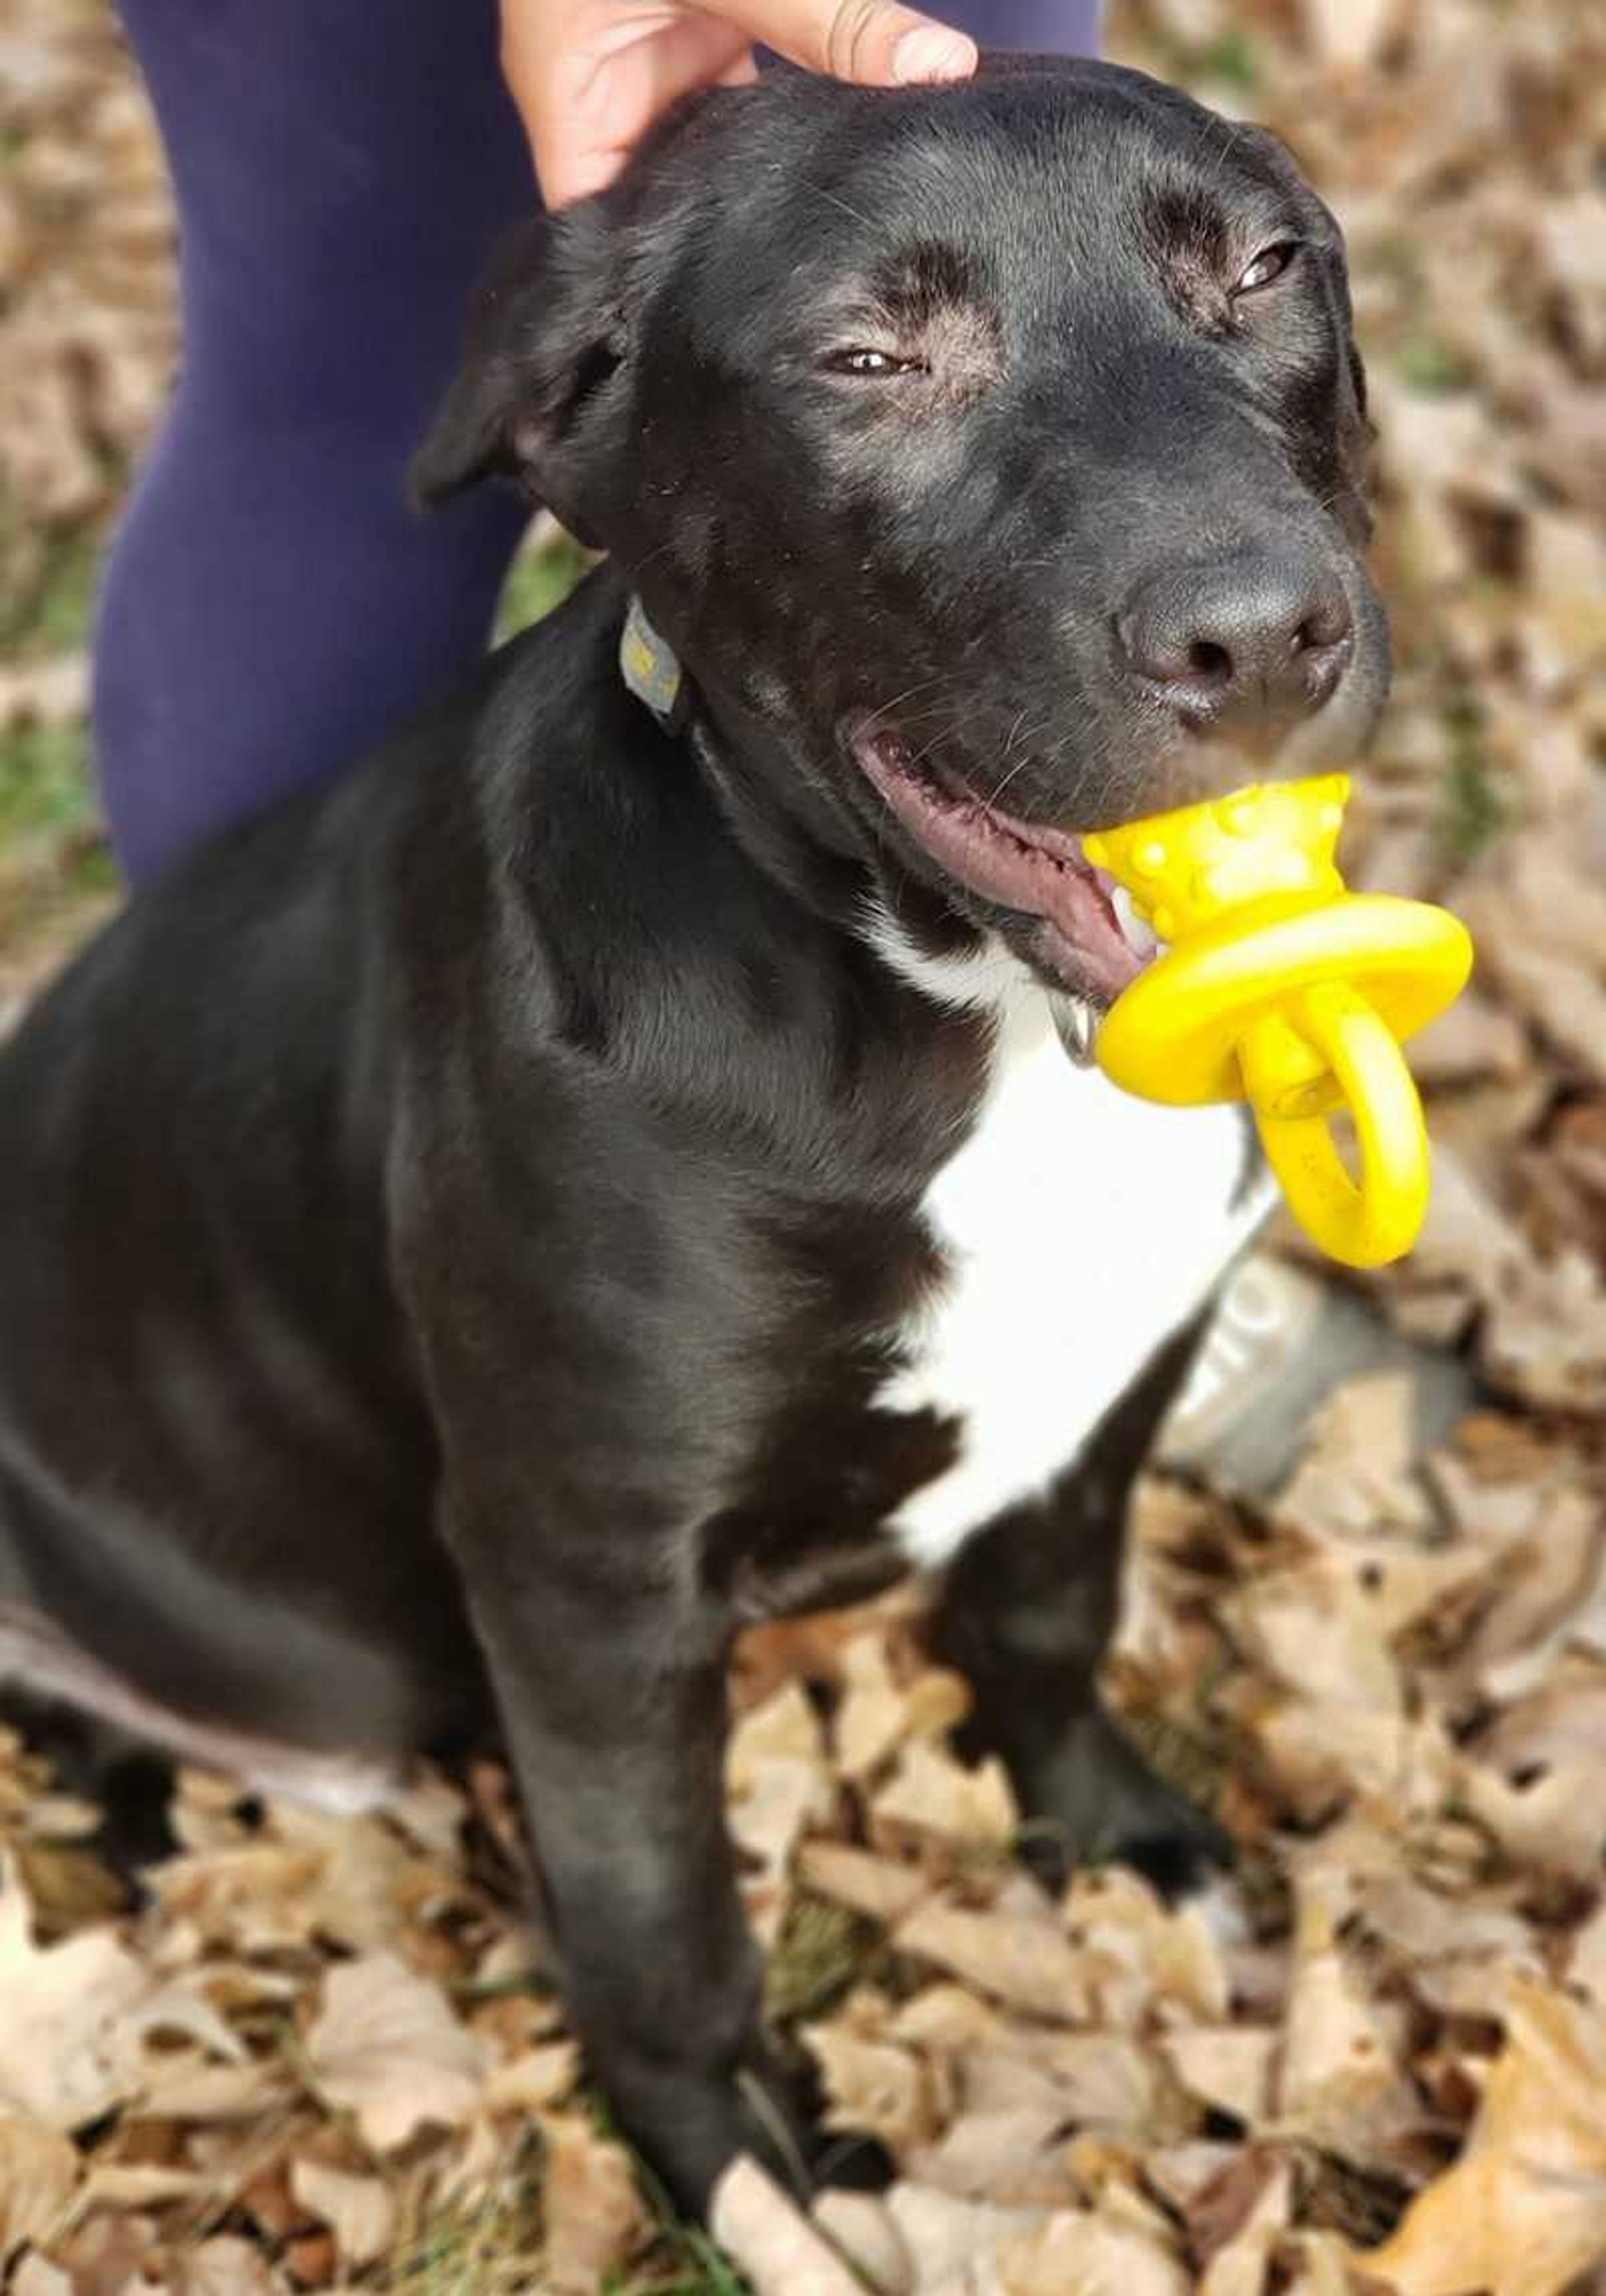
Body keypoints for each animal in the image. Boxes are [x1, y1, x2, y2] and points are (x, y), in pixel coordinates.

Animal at [0, 58, 1388, 2204]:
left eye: (1263, 267)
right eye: (867, 356)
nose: (1262, 637)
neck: (974, 1024)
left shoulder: (1111, 1383)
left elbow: (1048, 1615)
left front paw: (1110, 1834)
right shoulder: (590, 1569)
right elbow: (660, 1907)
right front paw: (734, 2164)